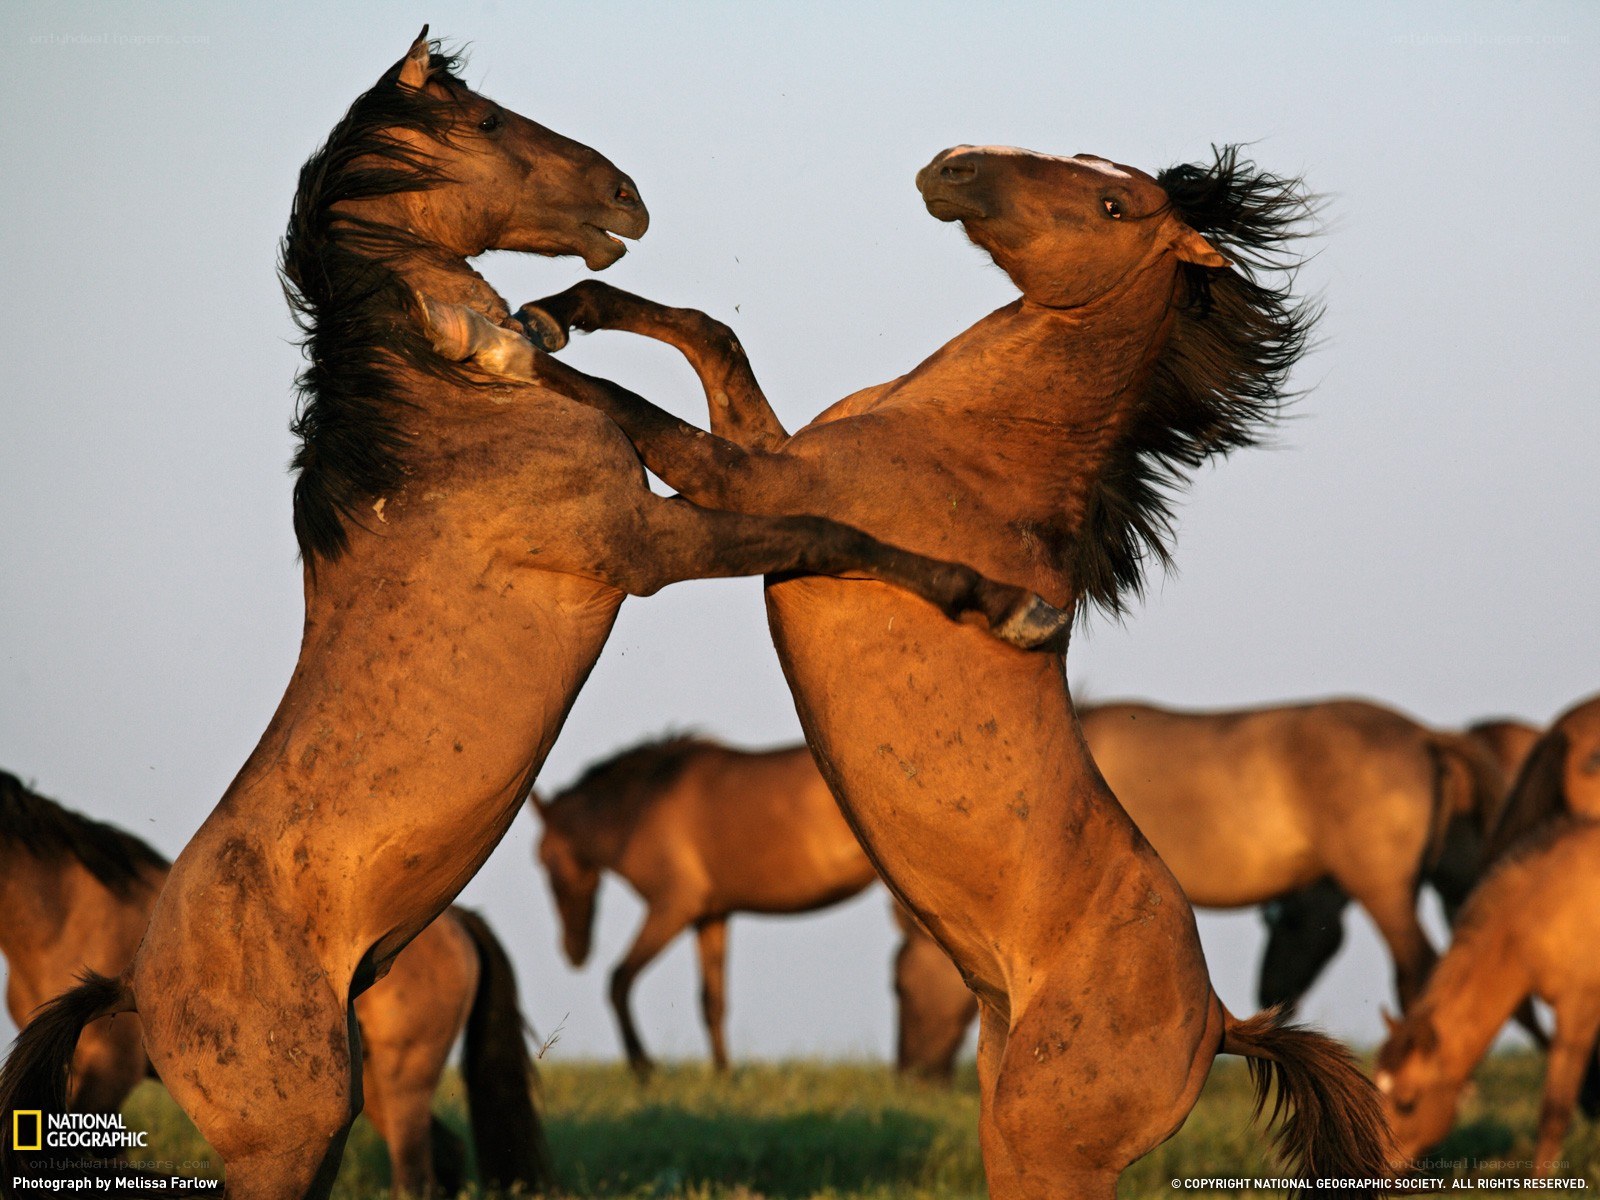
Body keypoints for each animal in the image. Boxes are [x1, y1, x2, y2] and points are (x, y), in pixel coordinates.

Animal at [533, 734, 878, 1078]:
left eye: (543, 860)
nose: (573, 952)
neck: (645, 802)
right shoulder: (711, 917)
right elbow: (712, 1002)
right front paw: (724, 1075)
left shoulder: (673, 907)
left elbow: (619, 980)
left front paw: (643, 1067)